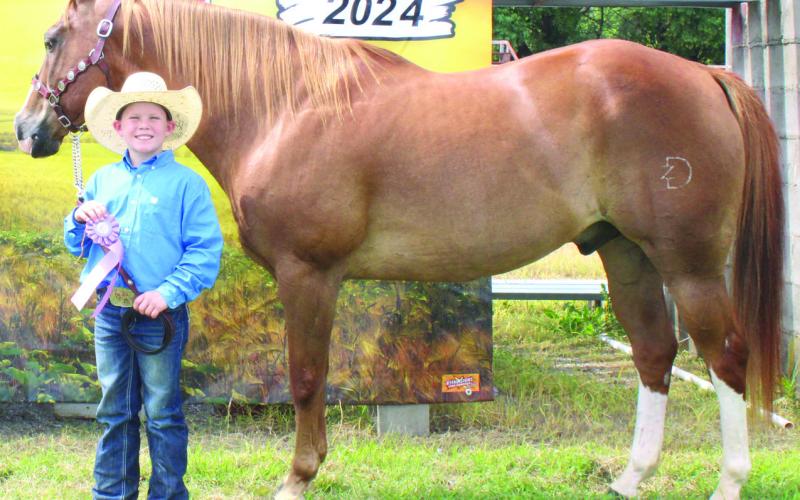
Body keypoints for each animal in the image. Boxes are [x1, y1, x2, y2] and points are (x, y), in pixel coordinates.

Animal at [14, 1, 784, 498]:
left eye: (52, 37)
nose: (26, 130)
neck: (285, 107)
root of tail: (706, 76)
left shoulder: (309, 275)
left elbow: (306, 377)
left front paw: (299, 477)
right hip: (624, 254)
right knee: (655, 354)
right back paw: (630, 477)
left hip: (687, 264)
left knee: (724, 358)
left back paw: (728, 483)